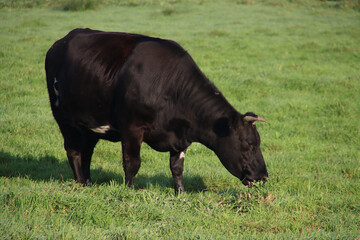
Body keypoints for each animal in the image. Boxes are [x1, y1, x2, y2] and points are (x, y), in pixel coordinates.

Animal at [45, 28, 268, 193]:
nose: (264, 176)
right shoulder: (132, 128)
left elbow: (177, 168)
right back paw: (80, 184)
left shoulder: (181, 137)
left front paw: (180, 194)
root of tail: (61, 42)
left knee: (87, 152)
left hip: (90, 125)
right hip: (64, 119)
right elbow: (132, 162)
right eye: (249, 144)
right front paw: (129, 191)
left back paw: (88, 183)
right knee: (74, 151)